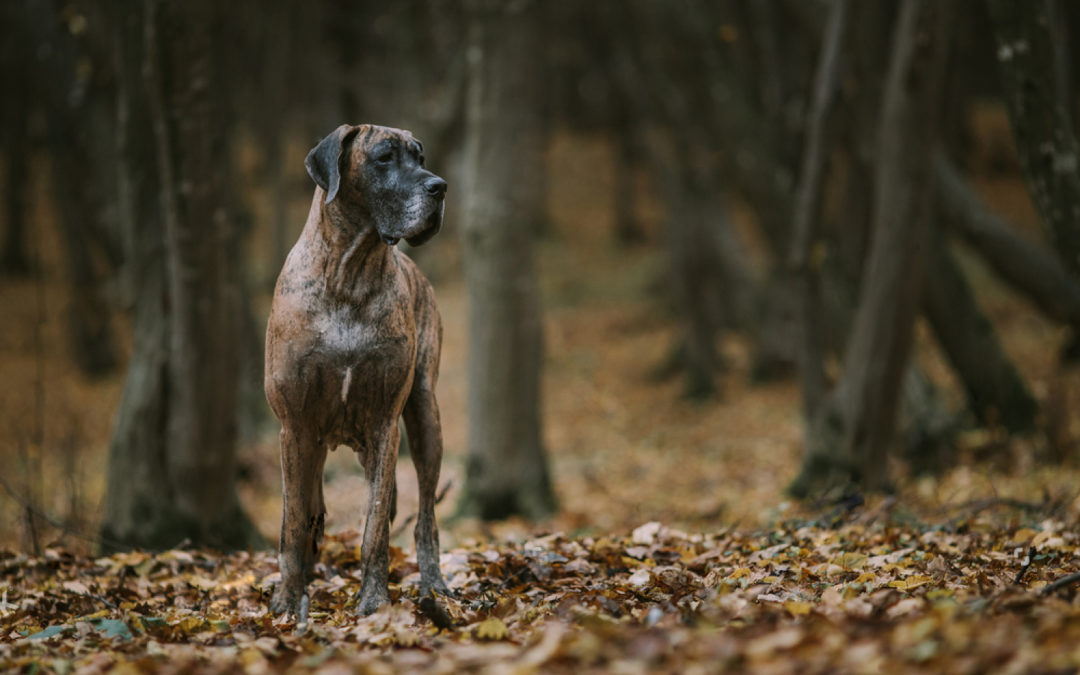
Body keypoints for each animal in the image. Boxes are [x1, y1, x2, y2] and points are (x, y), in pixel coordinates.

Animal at [265, 122, 451, 617]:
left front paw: (374, 600)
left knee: (424, 519)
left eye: (420, 156)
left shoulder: (386, 422)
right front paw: (287, 601)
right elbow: (292, 524)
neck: (350, 272)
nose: (440, 186)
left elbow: (375, 527)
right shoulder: (294, 426)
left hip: (424, 416)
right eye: (384, 157)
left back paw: (434, 586)